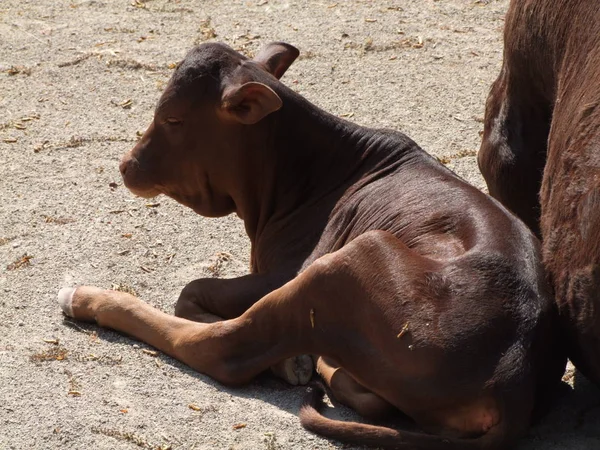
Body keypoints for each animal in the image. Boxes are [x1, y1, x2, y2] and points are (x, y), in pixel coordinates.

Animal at [58, 41, 564, 446]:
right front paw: (297, 361)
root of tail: (513, 373)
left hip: (349, 261)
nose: (126, 165)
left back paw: (84, 298)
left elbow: (192, 292)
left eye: (172, 118)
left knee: (225, 349)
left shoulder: (287, 270)